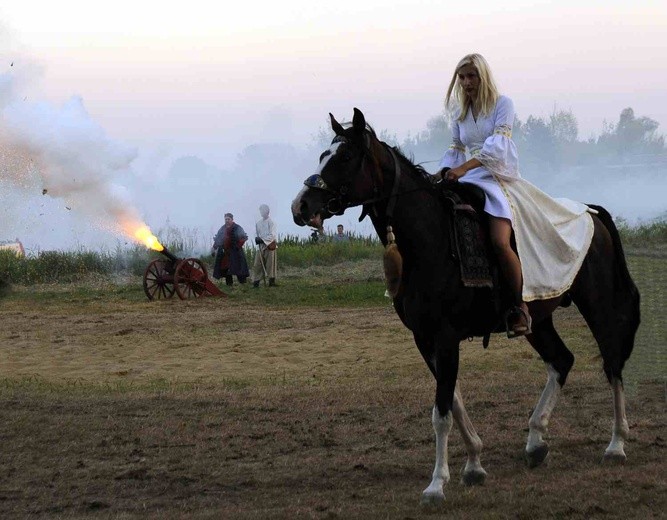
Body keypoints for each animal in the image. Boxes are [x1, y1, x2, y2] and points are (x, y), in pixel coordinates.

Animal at [290, 108, 640, 504]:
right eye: (324, 154)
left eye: (346, 156)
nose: (301, 206)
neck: (429, 238)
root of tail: (589, 211)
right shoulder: (426, 339)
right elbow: (453, 401)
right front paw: (473, 464)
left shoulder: (444, 337)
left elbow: (441, 411)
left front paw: (436, 484)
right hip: (537, 318)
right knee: (562, 360)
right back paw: (536, 441)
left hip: (597, 304)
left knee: (612, 362)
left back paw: (616, 444)